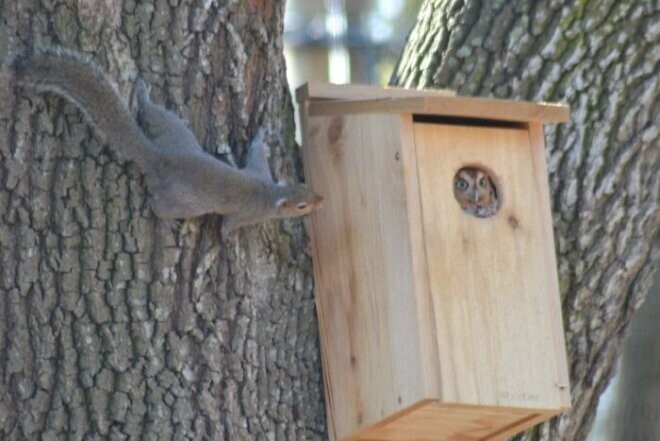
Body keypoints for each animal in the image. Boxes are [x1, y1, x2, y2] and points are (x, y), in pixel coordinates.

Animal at [12, 47, 324, 234]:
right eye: (302, 206)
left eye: (306, 185)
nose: (321, 200)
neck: (270, 193)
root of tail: (158, 157)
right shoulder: (247, 213)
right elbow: (227, 228)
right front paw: (232, 239)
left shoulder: (259, 170)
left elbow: (256, 152)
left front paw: (261, 133)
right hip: (185, 201)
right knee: (159, 207)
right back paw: (170, 221)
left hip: (175, 131)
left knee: (151, 113)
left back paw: (142, 95)